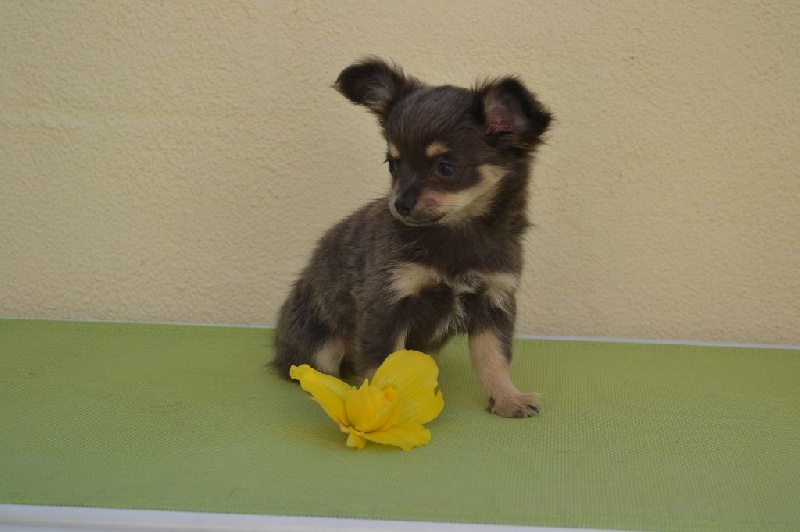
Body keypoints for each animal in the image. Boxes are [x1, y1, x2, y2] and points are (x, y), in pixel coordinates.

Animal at [272, 58, 552, 418]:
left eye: (446, 167)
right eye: (393, 164)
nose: (400, 204)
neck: (456, 232)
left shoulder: (493, 299)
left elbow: (494, 357)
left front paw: (507, 398)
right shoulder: (388, 302)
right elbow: (382, 362)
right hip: (320, 343)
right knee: (318, 366)